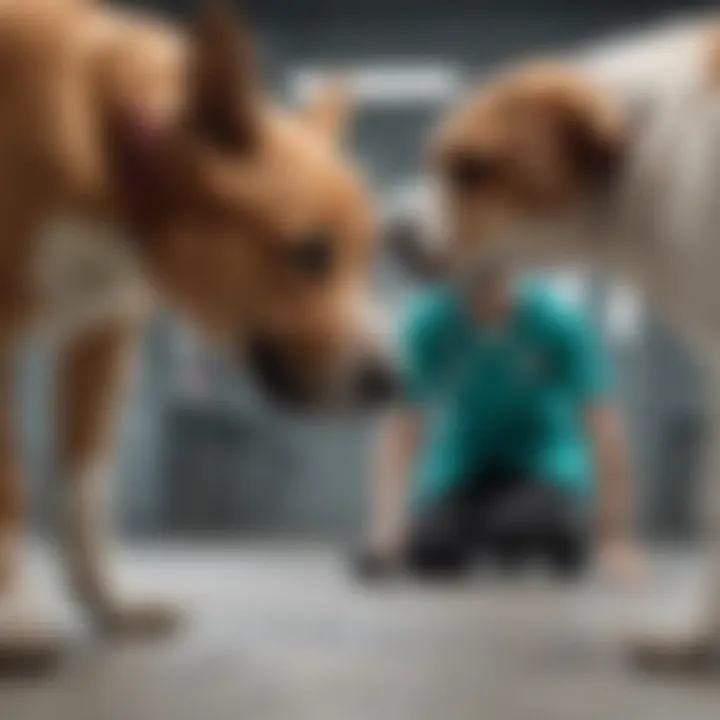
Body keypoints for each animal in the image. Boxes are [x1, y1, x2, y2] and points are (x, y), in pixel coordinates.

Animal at [0, 0, 394, 668]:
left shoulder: (103, 333)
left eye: (369, 257)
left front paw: (109, 603)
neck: (118, 150)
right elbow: (12, 484)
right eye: (310, 253)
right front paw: (11, 618)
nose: (389, 380)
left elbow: (86, 490)